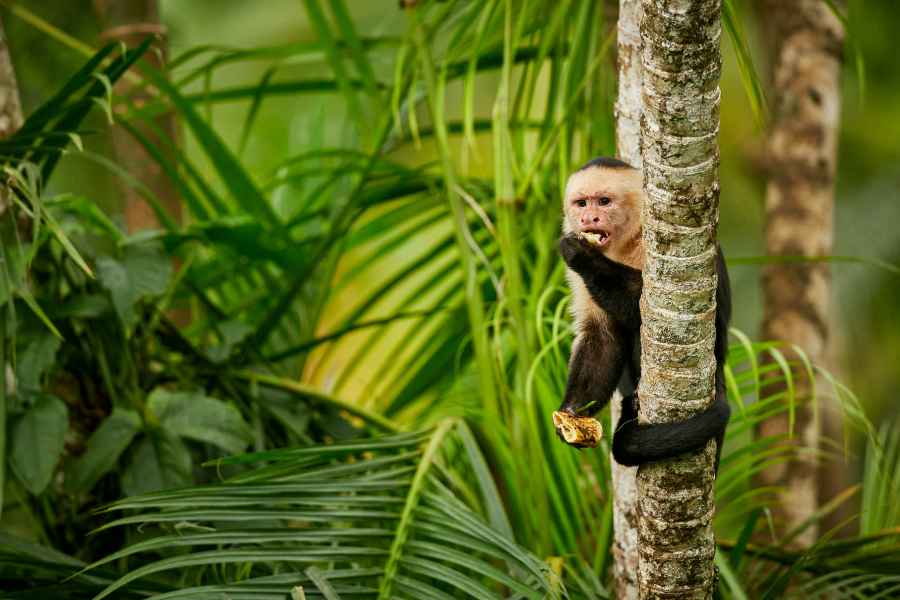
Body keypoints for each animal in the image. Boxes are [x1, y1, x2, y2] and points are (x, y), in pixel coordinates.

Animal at [554, 156, 732, 468]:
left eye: (603, 201)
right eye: (581, 203)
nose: (589, 219)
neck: (624, 243)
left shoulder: (657, 241)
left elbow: (655, 312)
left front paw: (585, 256)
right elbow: (602, 335)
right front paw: (573, 412)